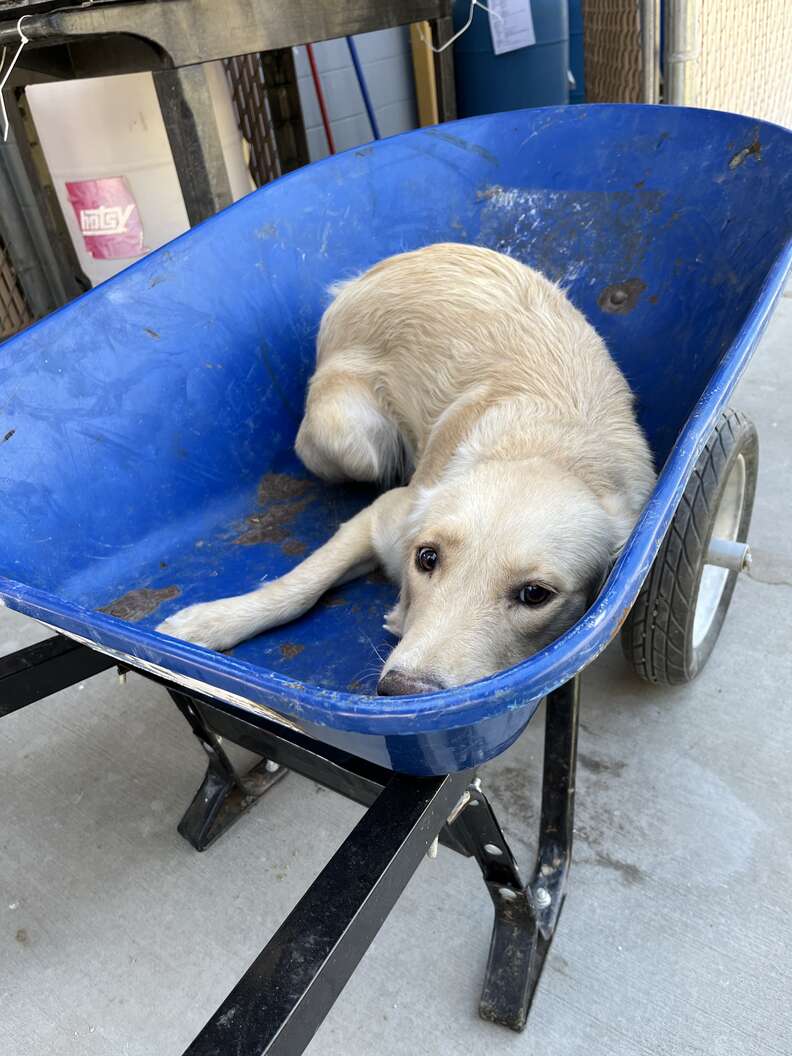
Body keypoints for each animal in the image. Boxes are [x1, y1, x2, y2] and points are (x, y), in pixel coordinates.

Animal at [156, 243, 658, 696]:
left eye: (535, 594)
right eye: (427, 558)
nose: (400, 691)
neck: (547, 449)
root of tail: (380, 268)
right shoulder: (384, 514)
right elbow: (298, 586)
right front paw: (213, 621)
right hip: (351, 440)